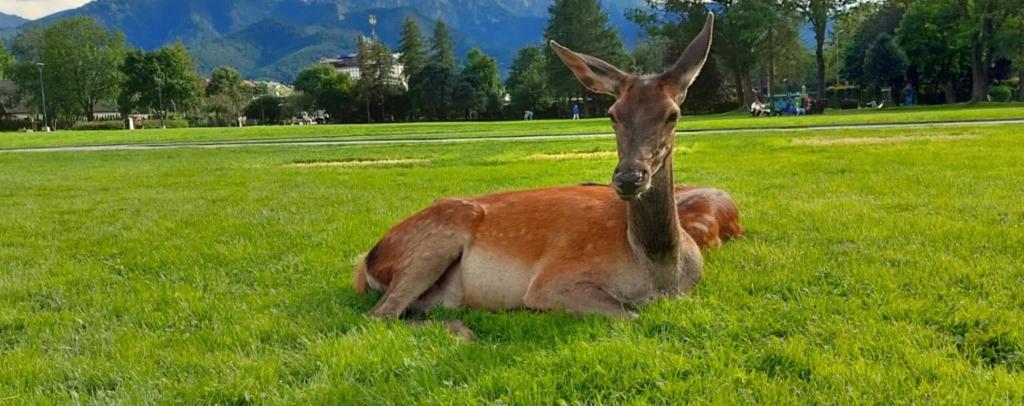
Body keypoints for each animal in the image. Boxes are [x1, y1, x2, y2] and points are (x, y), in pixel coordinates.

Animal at [354, 14, 721, 321]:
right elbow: (630, 314)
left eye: (673, 114)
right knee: (381, 315)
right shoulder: (551, 281)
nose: (629, 178)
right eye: (612, 113)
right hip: (432, 244)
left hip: (442, 292)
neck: (660, 273)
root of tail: (367, 261)